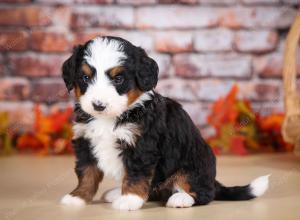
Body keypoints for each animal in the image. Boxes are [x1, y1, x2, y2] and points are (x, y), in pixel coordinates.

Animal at [59, 36, 268, 211]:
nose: (98, 105)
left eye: (118, 79)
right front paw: (78, 197)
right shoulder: (85, 140)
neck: (114, 116)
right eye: (85, 78)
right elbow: (86, 173)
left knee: (202, 192)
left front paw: (129, 200)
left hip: (194, 165)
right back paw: (116, 193)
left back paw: (181, 198)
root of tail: (213, 181)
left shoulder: (142, 147)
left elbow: (135, 175)